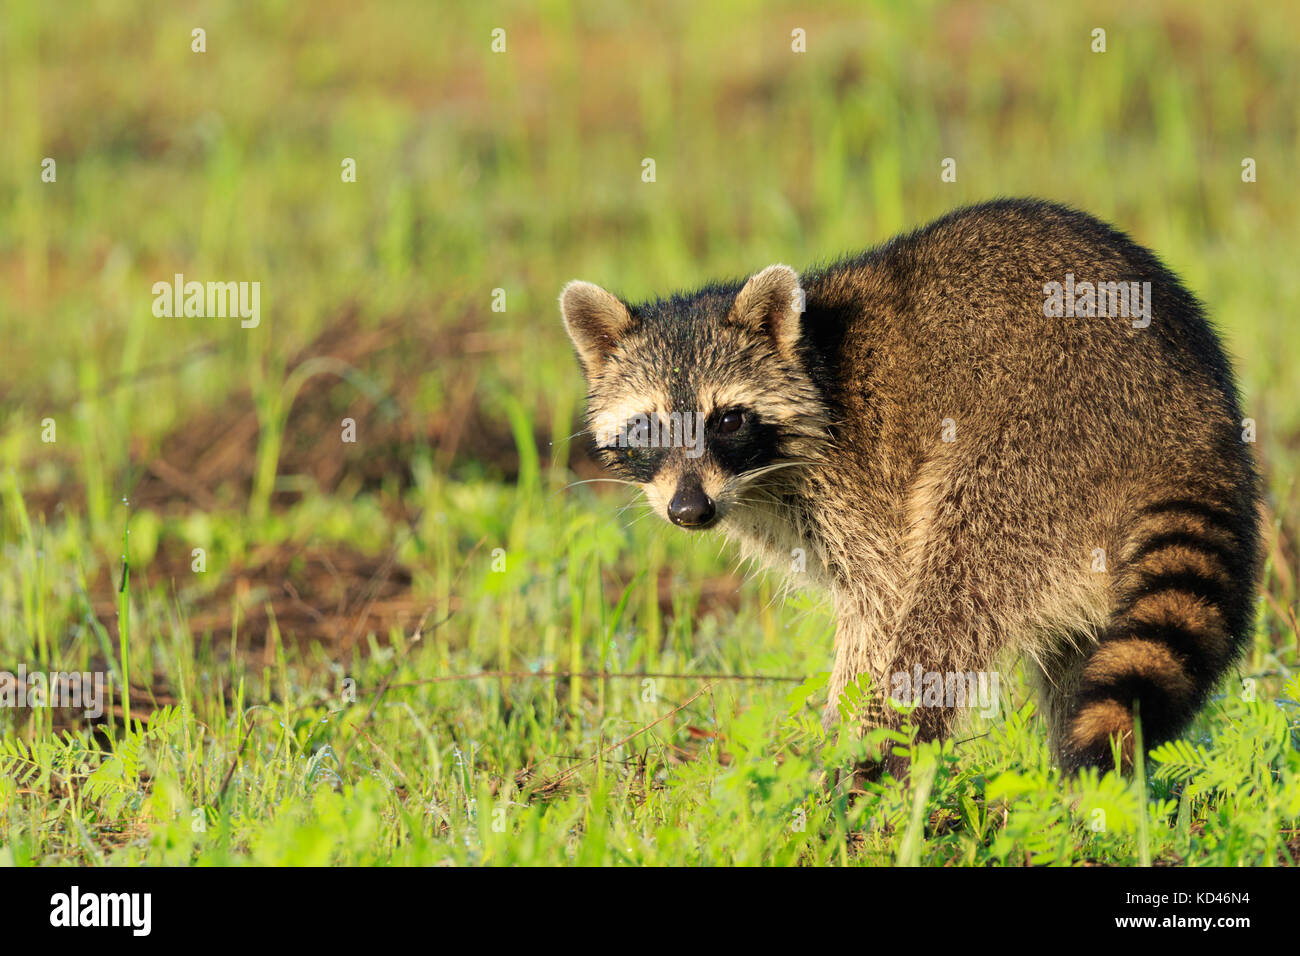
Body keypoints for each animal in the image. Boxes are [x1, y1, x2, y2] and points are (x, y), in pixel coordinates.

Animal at [556, 197, 1258, 775]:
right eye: (649, 425)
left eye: (726, 421)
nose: (688, 510)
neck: (815, 362)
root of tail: (1193, 423)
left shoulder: (861, 477)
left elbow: (882, 606)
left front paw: (840, 737)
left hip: (1038, 444)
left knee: (951, 598)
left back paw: (877, 763)